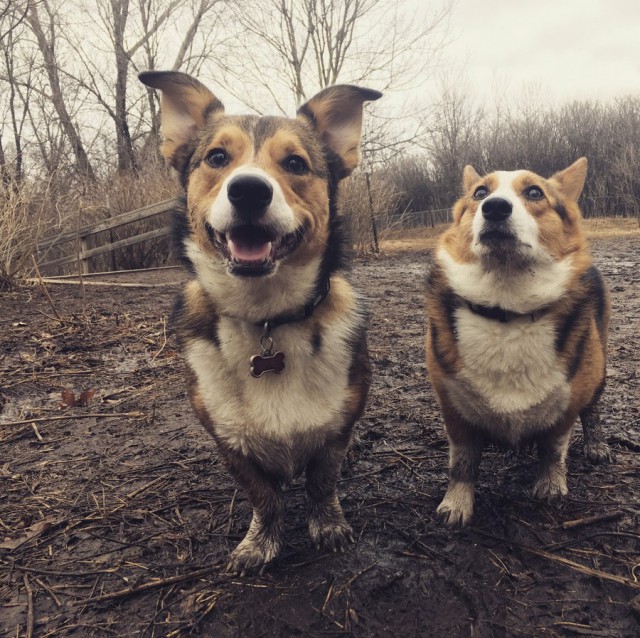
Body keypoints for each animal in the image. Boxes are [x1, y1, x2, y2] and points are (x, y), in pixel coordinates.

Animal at [139, 71, 380, 576]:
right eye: (216, 158)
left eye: (295, 163)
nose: (249, 190)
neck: (266, 317)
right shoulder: (229, 442)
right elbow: (264, 497)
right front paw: (260, 542)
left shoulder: (337, 430)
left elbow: (322, 484)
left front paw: (328, 525)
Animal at [424, 158, 608, 528]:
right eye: (480, 193)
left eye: (535, 193)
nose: (494, 207)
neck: (507, 308)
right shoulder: (452, 408)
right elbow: (462, 462)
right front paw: (456, 503)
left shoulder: (567, 404)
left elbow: (553, 448)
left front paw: (551, 485)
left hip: (599, 369)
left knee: (592, 409)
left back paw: (596, 444)